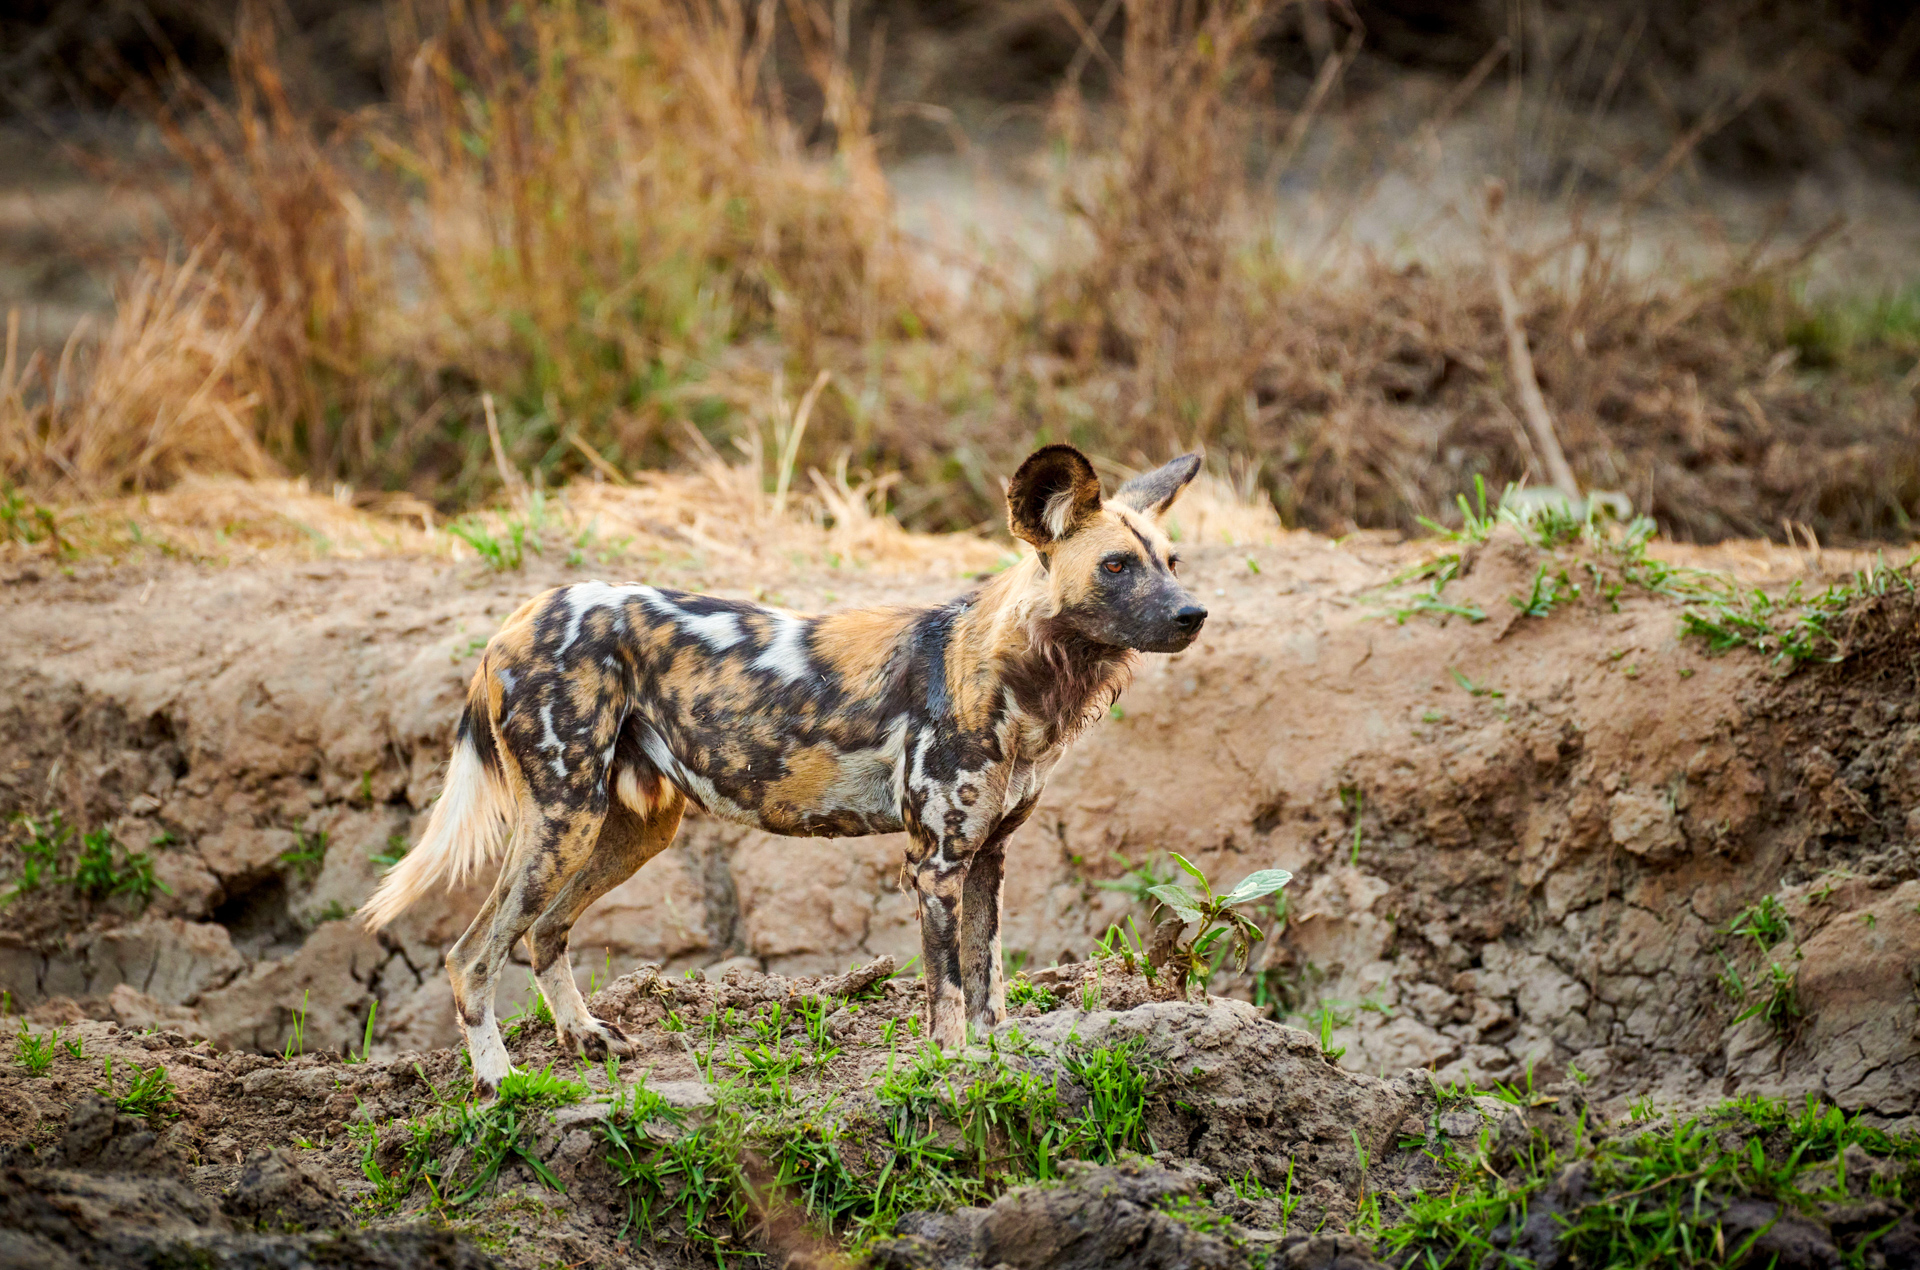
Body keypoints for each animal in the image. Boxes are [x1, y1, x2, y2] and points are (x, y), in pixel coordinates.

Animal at [360, 445, 1198, 1091]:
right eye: (1115, 566)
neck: (1016, 679)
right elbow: (949, 995)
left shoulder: (985, 859)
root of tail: (520, 616)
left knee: (543, 932)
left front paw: (996, 1063)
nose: (1195, 614)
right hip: (563, 823)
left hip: (627, 830)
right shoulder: (934, 865)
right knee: (471, 955)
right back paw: (498, 1082)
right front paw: (954, 1071)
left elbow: (988, 981)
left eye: (1171, 562)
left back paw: (584, 1037)